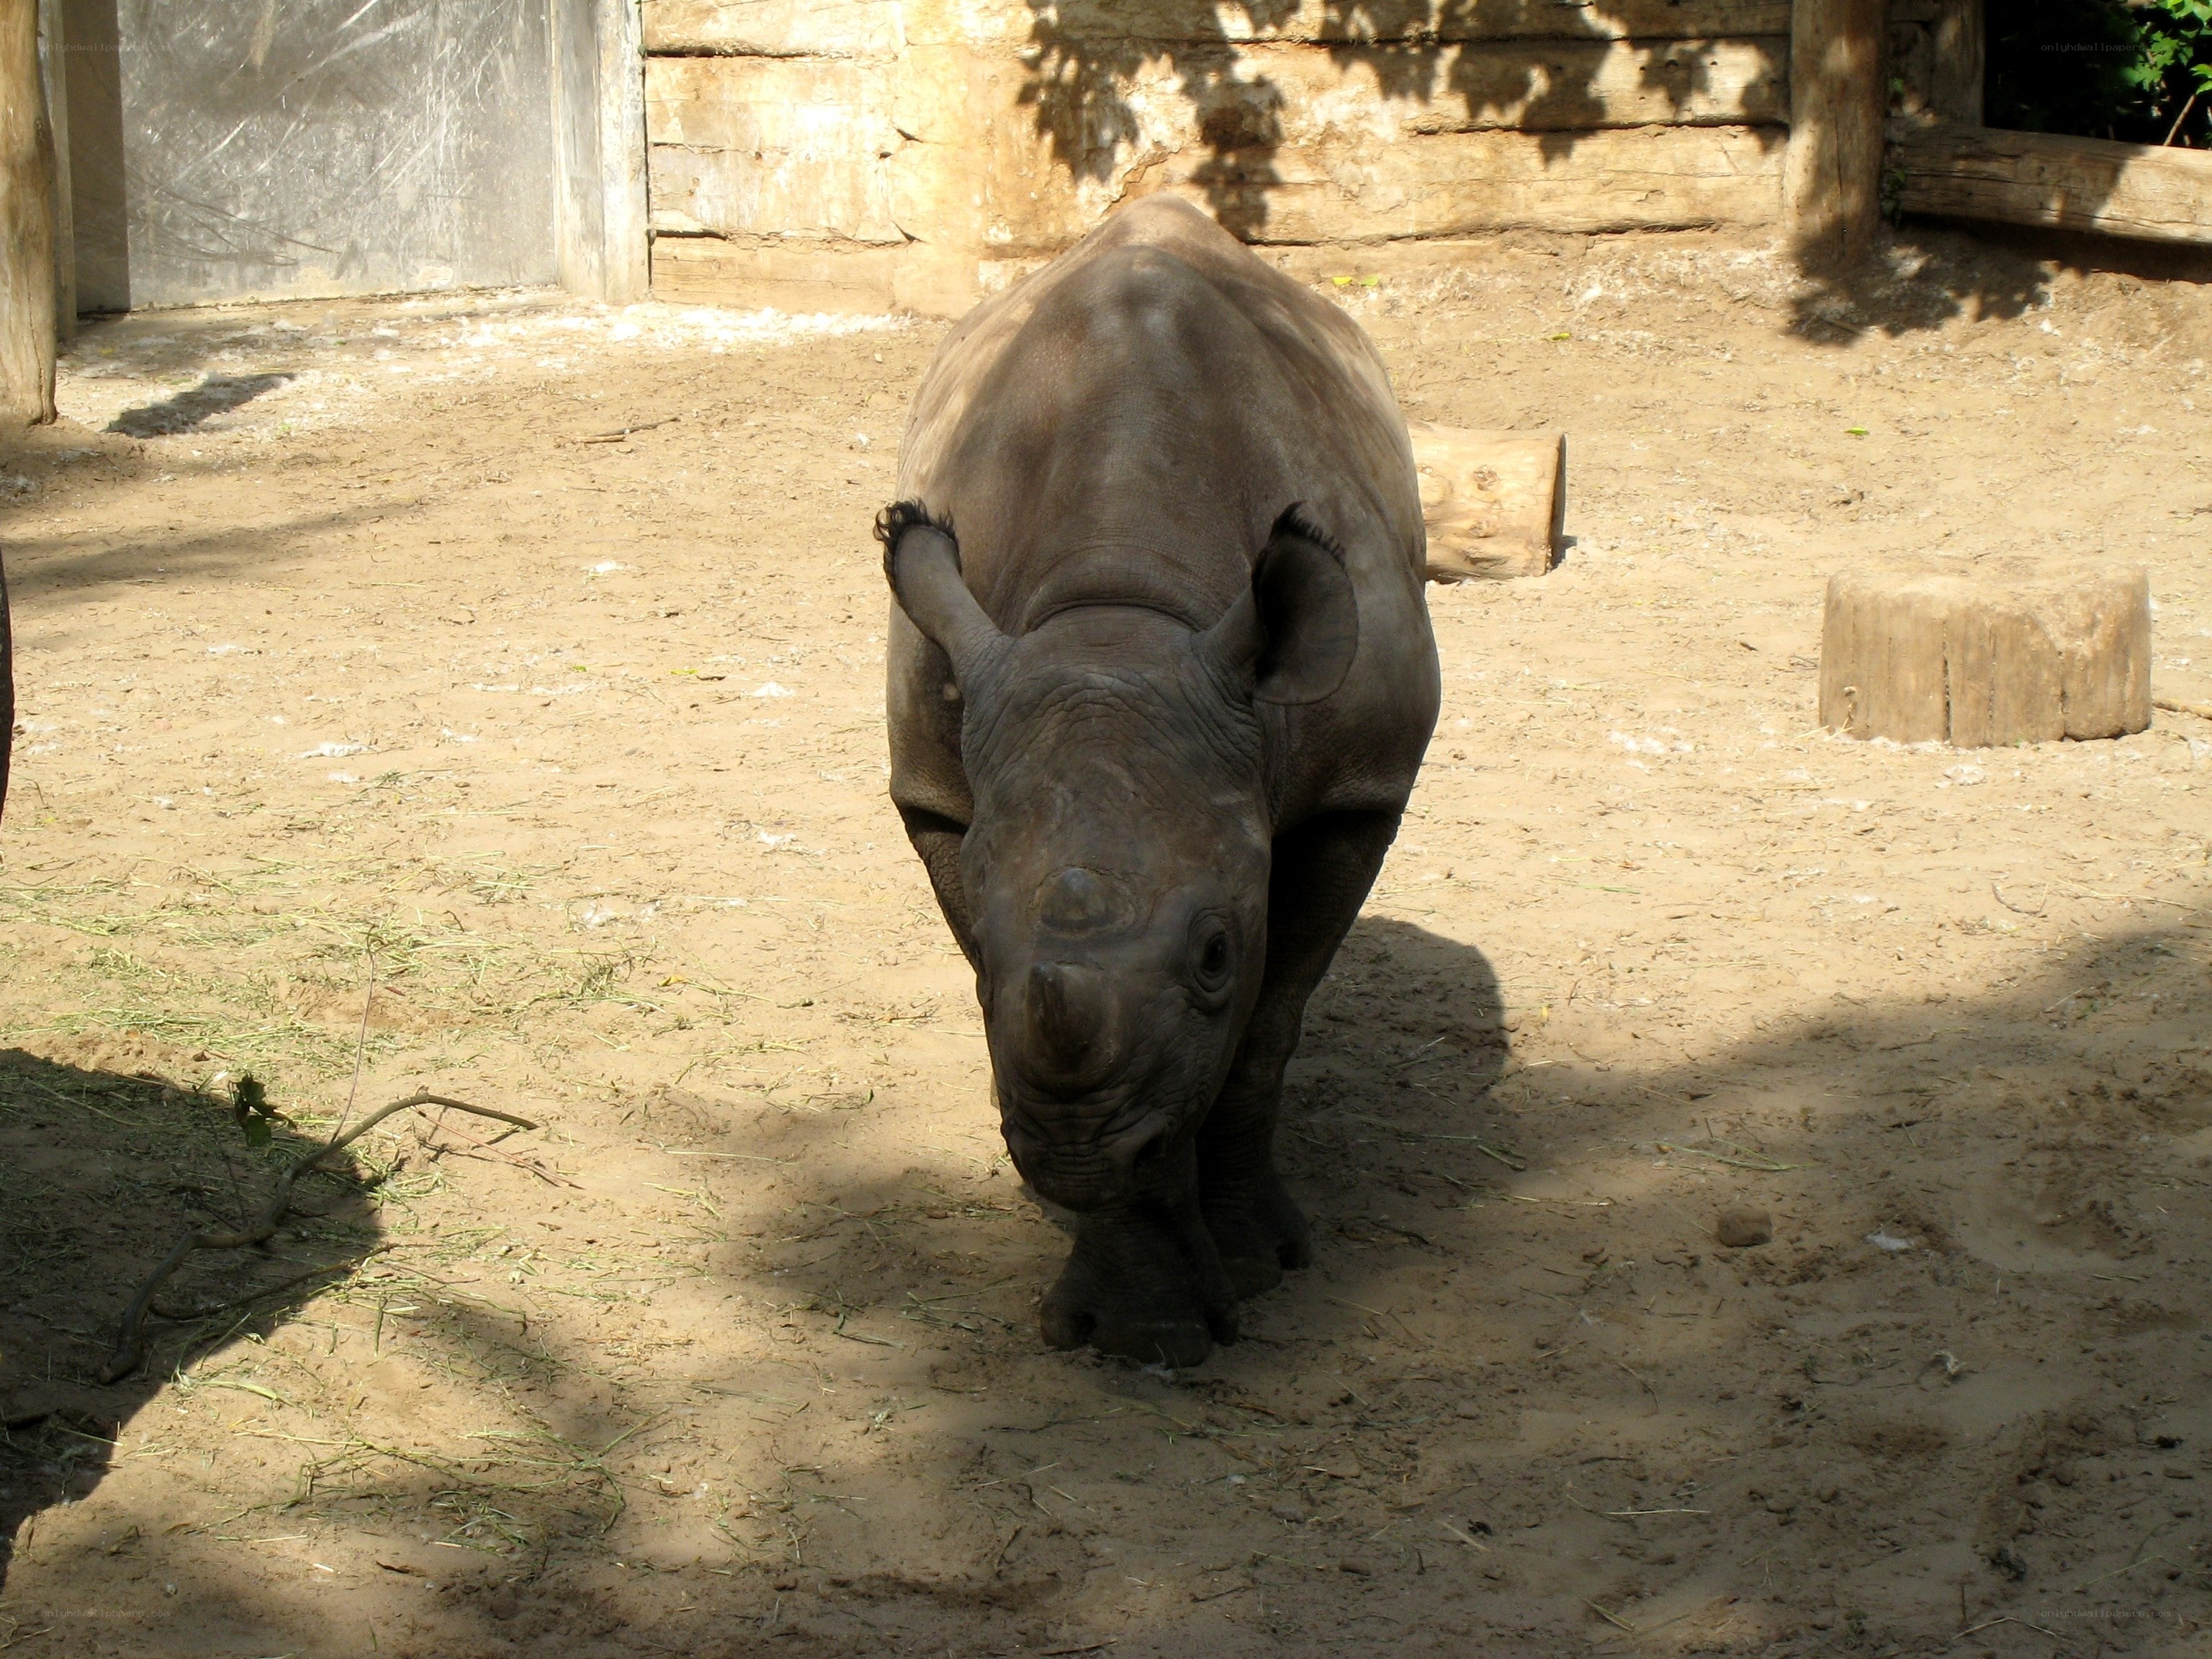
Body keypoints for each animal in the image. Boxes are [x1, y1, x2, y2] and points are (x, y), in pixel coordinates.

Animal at [879, 196, 1439, 1366]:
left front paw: (1260, 1271)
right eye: (986, 945)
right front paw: (1139, 1328)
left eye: (1217, 952)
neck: (1120, 619)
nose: (1073, 1156)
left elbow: (1266, 1028)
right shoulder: (937, 792)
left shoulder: (1358, 788)